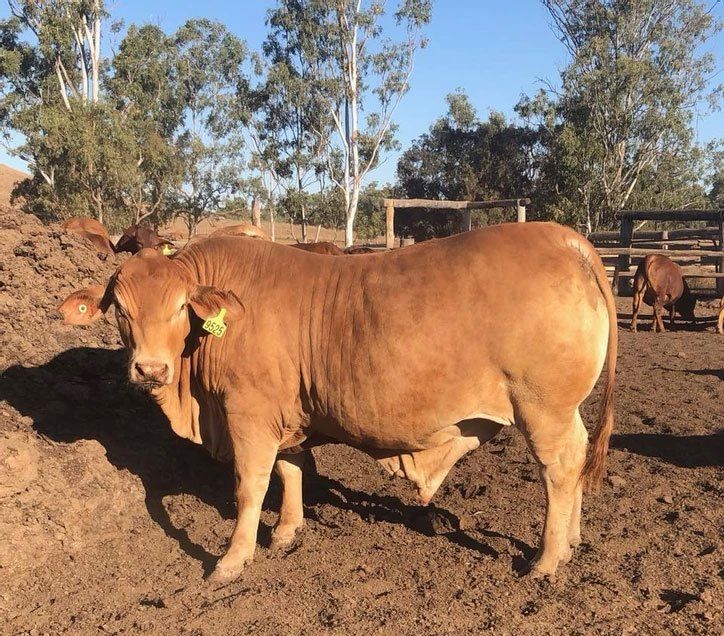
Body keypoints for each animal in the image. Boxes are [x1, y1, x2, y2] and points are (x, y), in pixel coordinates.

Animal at [58, 222, 617, 583]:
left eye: (179, 307)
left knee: (560, 467)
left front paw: (232, 561)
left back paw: (546, 560)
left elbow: (249, 487)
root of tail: (565, 237)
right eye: (120, 308)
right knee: (578, 458)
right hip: (558, 411)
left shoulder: (247, 415)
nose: (150, 369)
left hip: (542, 408)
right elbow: (290, 470)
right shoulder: (283, 415)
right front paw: (286, 531)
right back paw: (571, 544)